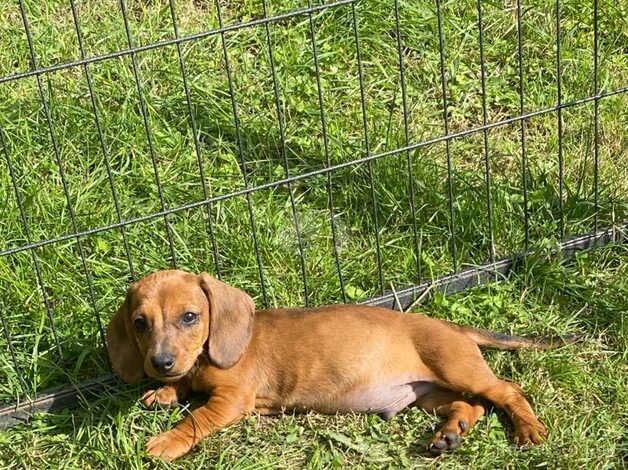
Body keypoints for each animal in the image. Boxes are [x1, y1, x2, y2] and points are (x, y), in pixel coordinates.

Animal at [106, 270, 568, 460]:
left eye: (190, 316)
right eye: (140, 323)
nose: (160, 362)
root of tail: (454, 327)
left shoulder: (232, 399)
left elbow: (196, 419)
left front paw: (167, 441)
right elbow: (184, 386)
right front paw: (164, 391)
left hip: (457, 368)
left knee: (506, 391)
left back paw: (529, 430)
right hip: (427, 393)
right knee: (469, 405)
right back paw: (449, 435)